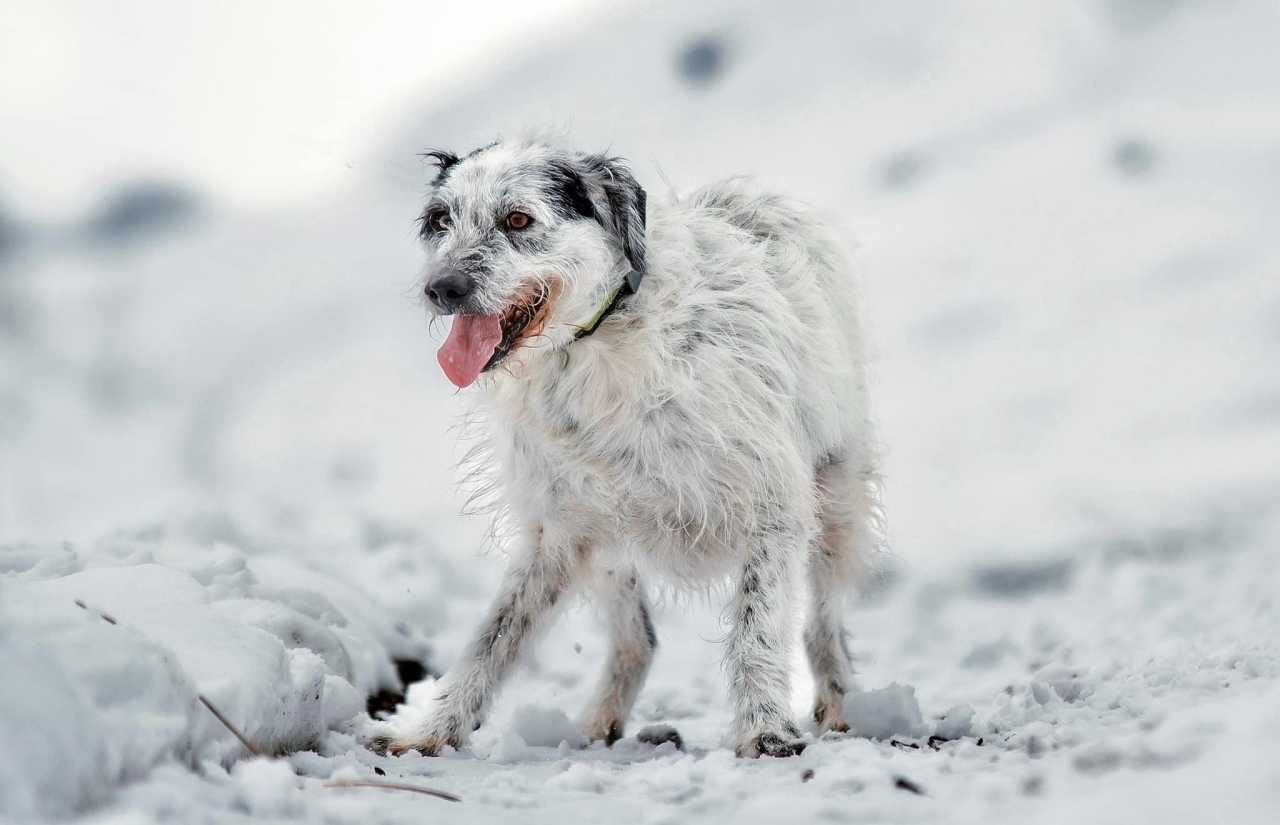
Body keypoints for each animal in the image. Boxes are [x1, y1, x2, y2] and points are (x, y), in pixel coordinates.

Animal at [378, 138, 880, 757]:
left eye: (517, 219)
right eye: (440, 220)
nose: (441, 288)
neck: (599, 341)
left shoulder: (775, 508)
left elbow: (755, 629)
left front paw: (765, 730)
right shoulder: (557, 529)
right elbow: (493, 638)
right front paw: (432, 732)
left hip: (837, 502)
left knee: (821, 622)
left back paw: (835, 703)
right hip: (605, 544)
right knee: (637, 637)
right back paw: (602, 721)